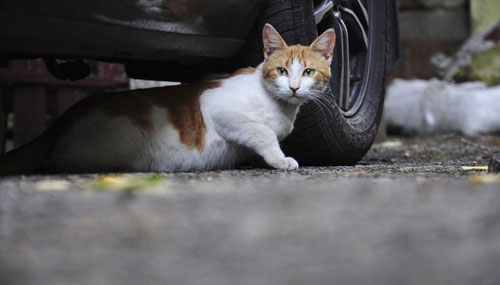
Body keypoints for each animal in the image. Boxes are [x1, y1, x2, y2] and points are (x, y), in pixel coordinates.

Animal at [0, 23, 336, 173]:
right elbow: (263, 132)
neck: (279, 106)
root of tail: (65, 117)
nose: (294, 88)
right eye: (281, 70)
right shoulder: (218, 106)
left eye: (307, 72)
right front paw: (280, 159)